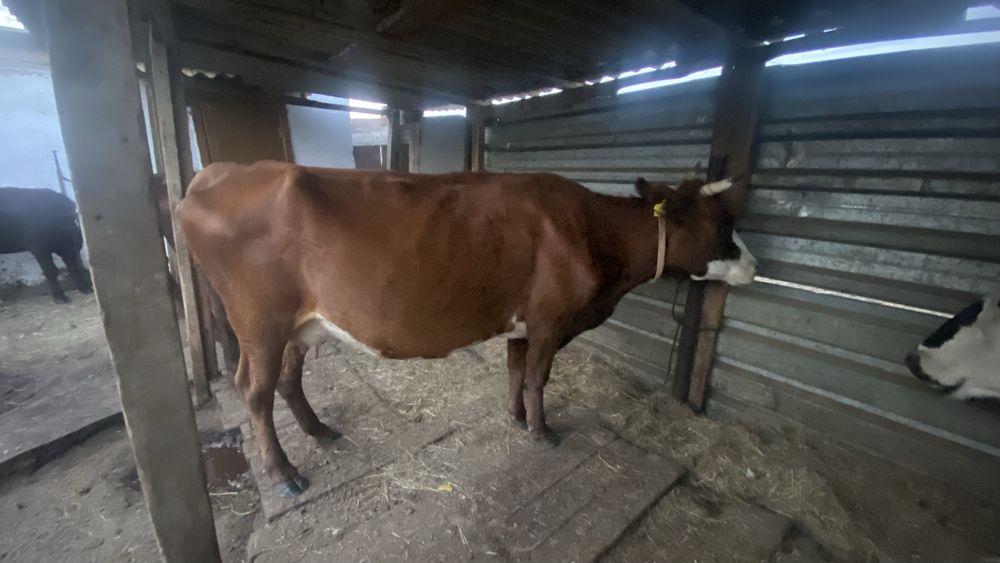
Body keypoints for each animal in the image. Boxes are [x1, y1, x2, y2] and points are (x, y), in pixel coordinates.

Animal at [178, 161, 757, 497]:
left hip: (300, 325)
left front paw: (516, 418)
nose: (754, 265)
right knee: (254, 390)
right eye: (723, 224)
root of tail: (214, 173)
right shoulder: (551, 318)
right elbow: (538, 376)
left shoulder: (524, 322)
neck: (594, 233)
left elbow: (516, 369)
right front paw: (543, 431)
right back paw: (285, 475)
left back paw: (320, 431)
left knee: (288, 379)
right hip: (260, 322)